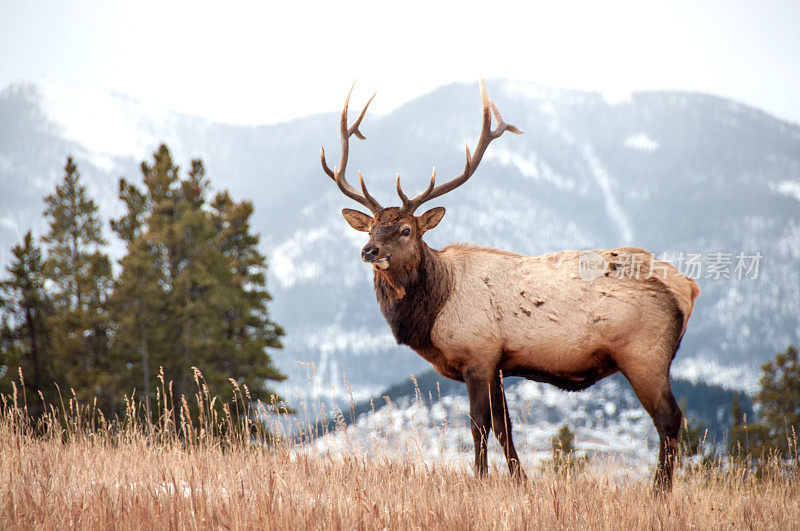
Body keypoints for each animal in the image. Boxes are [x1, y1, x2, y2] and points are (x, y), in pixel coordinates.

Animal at [318, 80, 700, 494]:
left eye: (405, 230)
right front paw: (520, 481)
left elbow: (478, 426)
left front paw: (480, 479)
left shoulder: (479, 352)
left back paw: (659, 492)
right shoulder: (500, 364)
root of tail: (687, 287)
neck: (432, 312)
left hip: (644, 352)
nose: (369, 250)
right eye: (371, 228)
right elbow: (505, 428)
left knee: (669, 418)